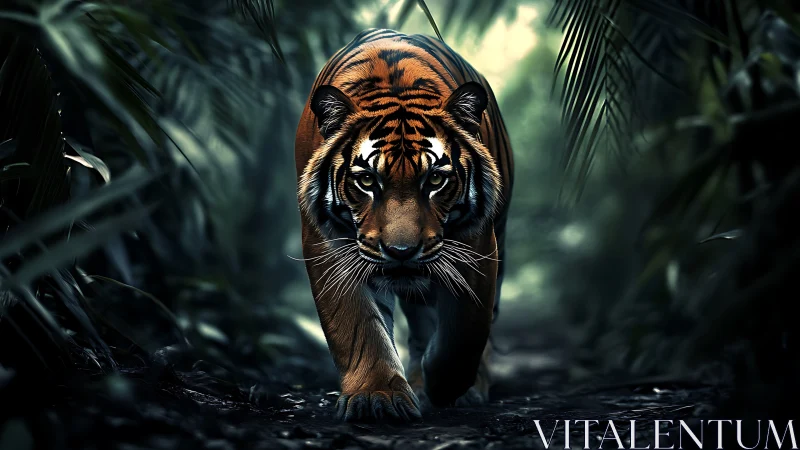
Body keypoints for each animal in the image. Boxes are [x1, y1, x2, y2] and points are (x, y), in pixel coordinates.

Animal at [295, 28, 514, 422]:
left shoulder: (476, 242)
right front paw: (375, 397)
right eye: (367, 180)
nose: (401, 251)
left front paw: (445, 386)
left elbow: (465, 330)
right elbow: (356, 323)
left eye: (436, 179)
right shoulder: (324, 242)